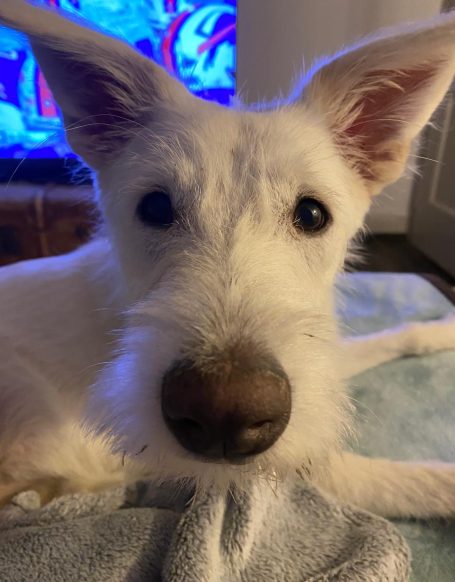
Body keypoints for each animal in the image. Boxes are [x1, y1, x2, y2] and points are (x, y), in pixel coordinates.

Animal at [1, 0, 455, 519]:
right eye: (155, 208)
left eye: (311, 214)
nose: (224, 415)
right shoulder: (297, 466)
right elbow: (407, 481)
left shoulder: (315, 372)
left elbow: (396, 336)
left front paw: (442, 330)